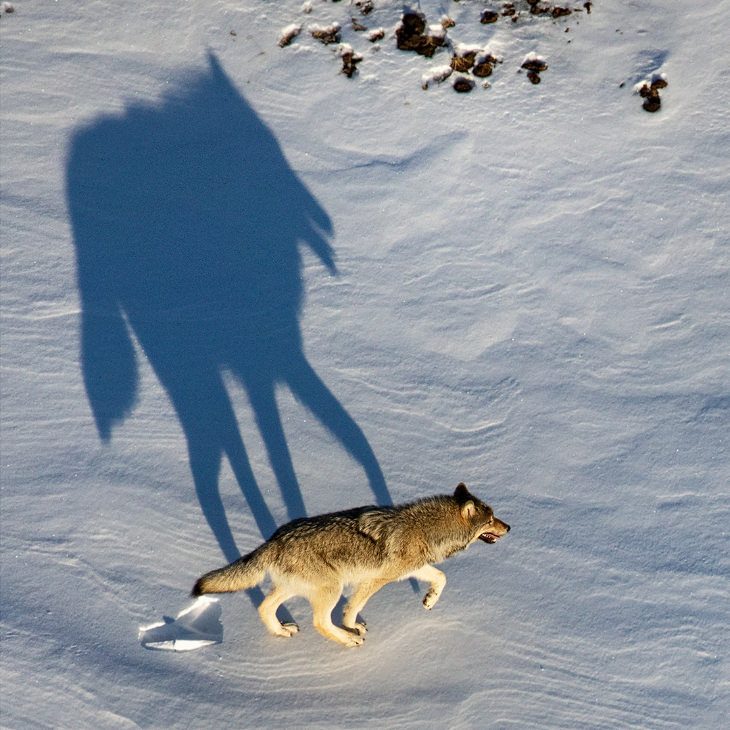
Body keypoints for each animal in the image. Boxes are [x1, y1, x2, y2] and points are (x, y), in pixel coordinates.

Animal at [193, 484, 512, 644]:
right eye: (491, 520)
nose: (509, 527)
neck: (426, 529)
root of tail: (276, 538)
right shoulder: (375, 580)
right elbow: (354, 607)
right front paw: (352, 628)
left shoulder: (412, 569)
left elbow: (441, 577)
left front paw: (429, 601)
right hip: (331, 588)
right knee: (320, 622)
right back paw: (347, 640)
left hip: (295, 589)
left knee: (263, 607)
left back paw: (281, 632)